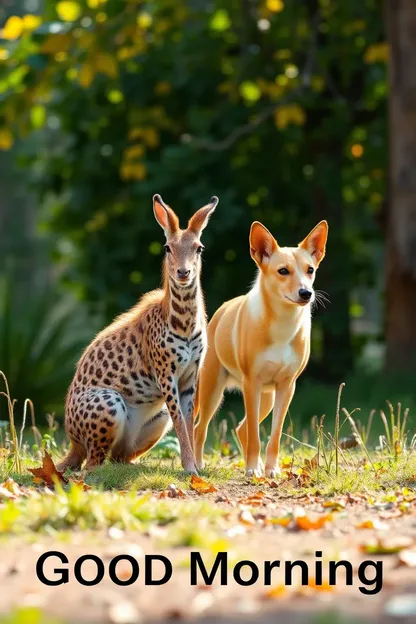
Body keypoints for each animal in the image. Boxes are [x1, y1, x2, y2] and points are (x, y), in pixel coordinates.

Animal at [194, 219, 328, 478]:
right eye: (283, 271)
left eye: (310, 270)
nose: (306, 293)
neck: (283, 324)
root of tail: (219, 313)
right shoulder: (251, 384)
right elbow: (256, 436)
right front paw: (252, 470)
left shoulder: (286, 387)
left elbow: (273, 436)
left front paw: (271, 470)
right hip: (211, 391)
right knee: (200, 428)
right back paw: (197, 465)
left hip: (267, 397)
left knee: (241, 428)